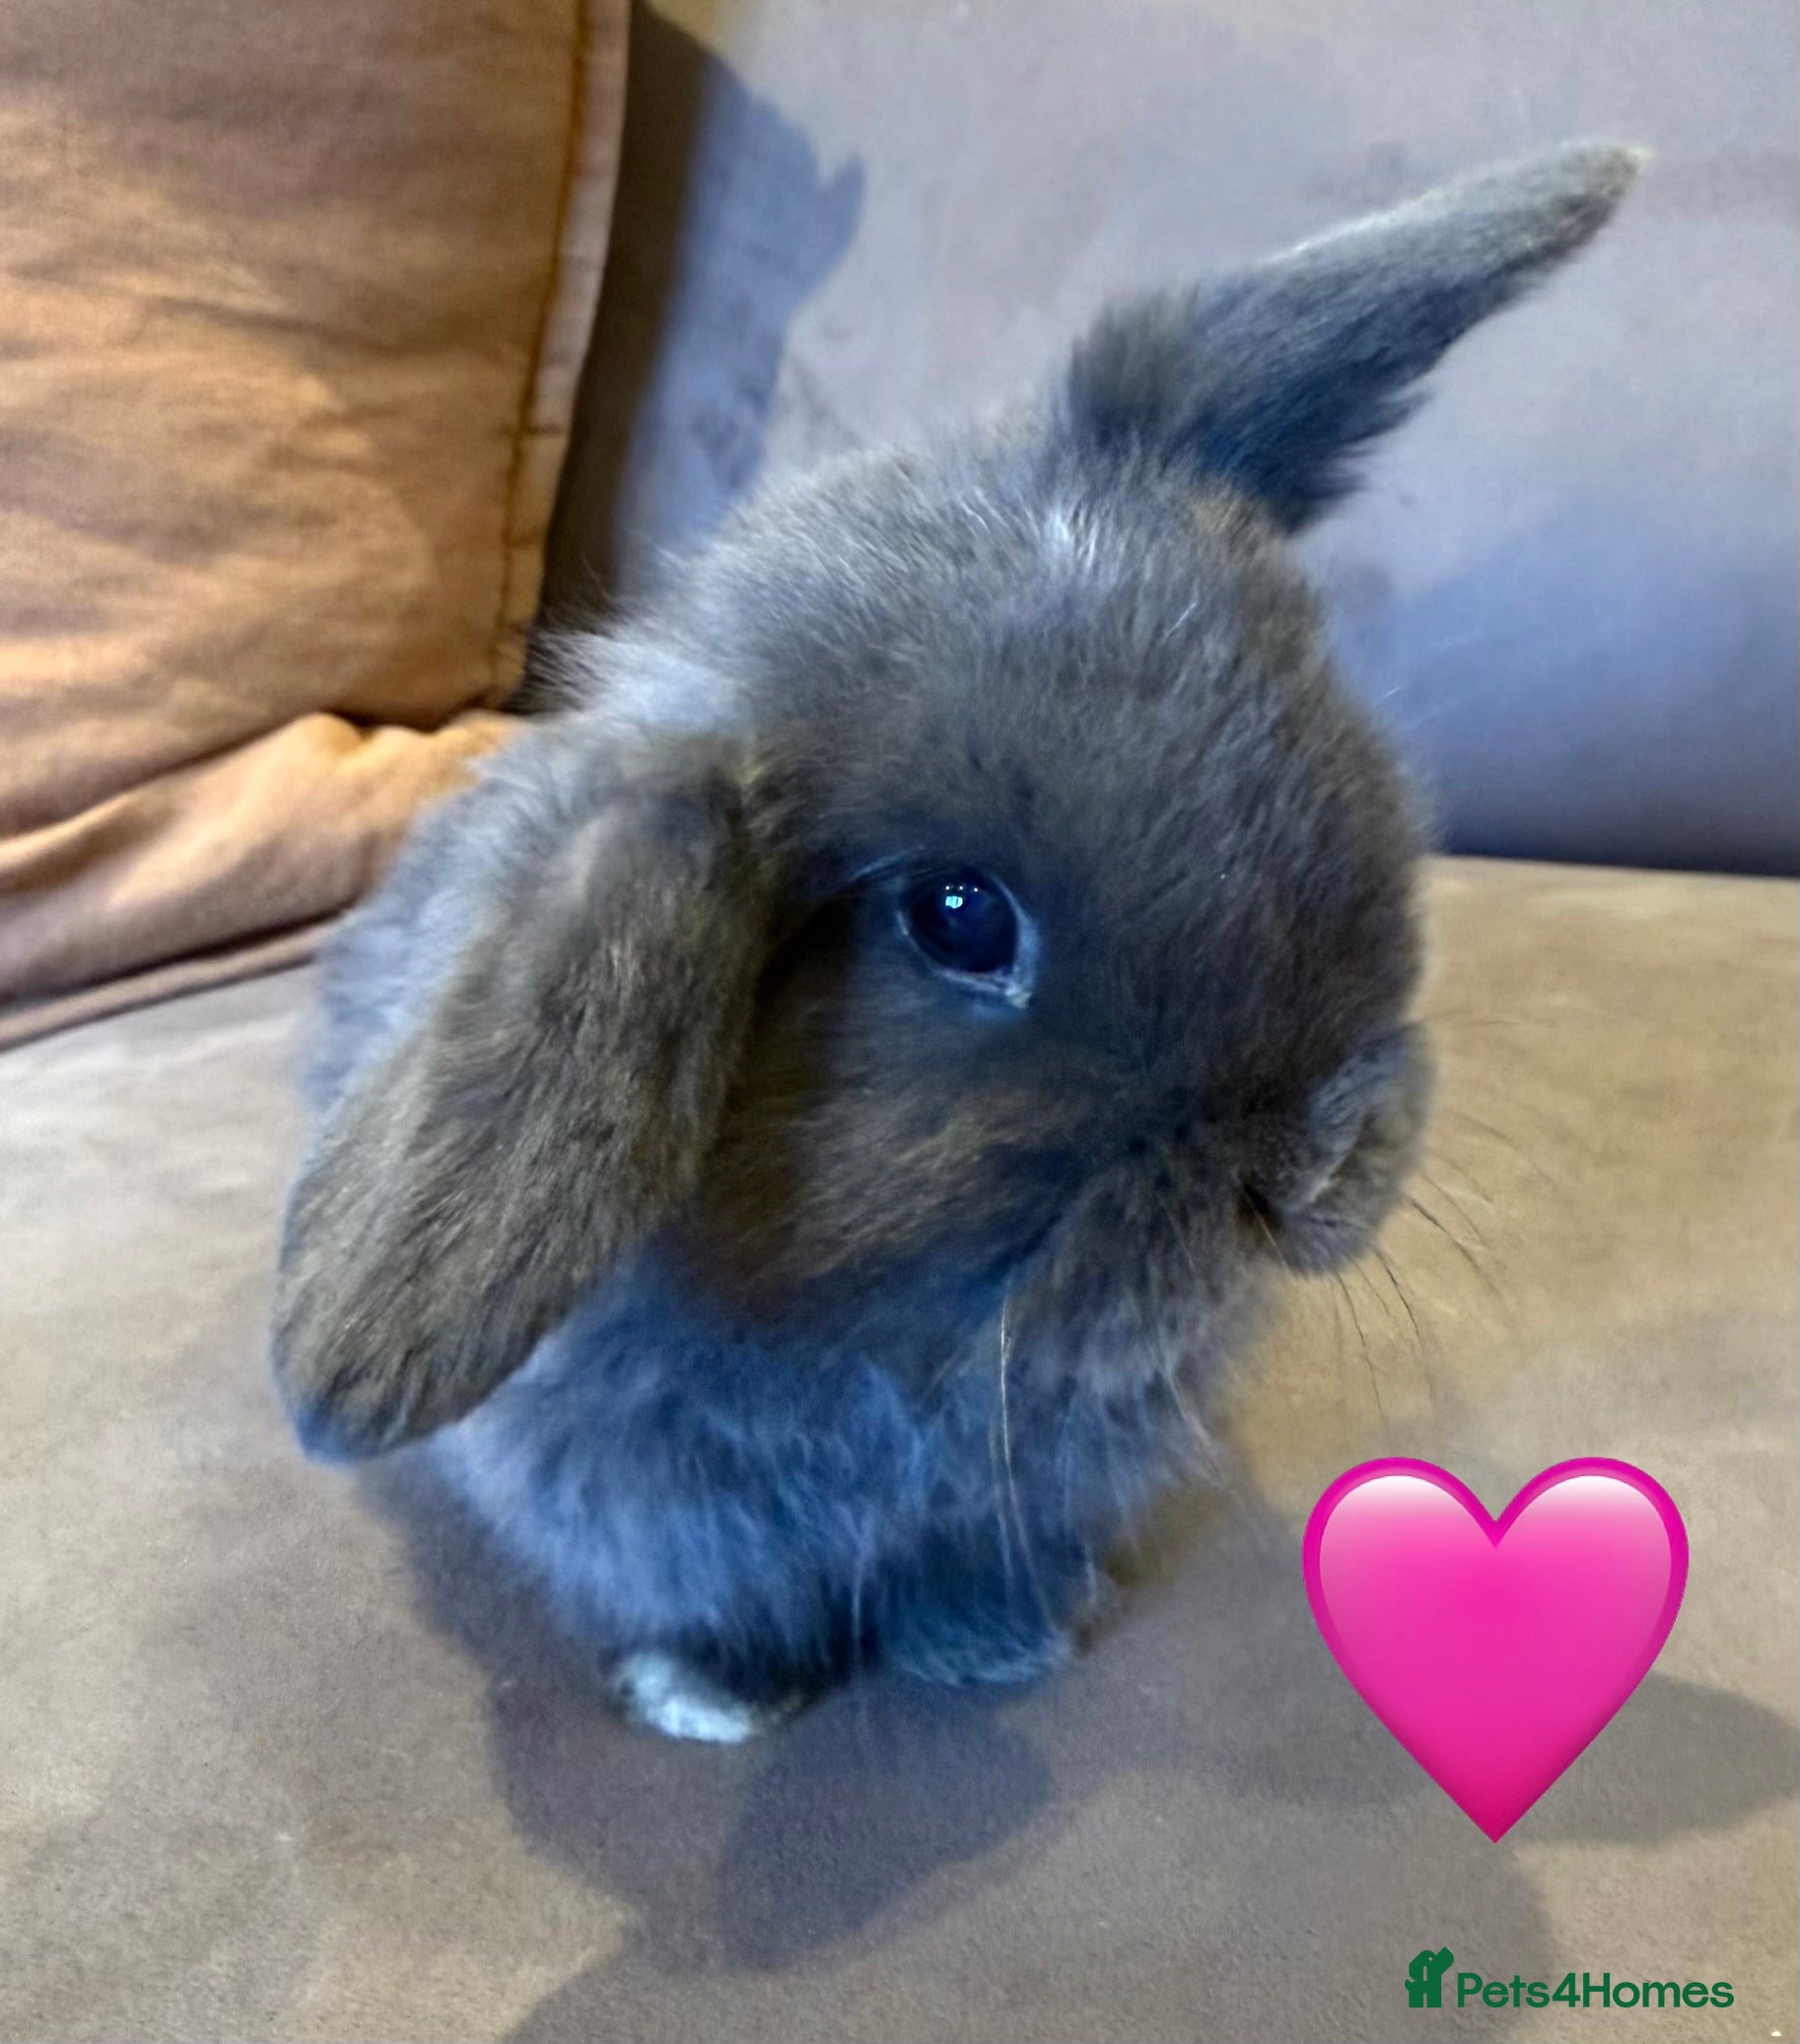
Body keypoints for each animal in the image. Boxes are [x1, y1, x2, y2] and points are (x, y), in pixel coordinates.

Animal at [272, 142, 1642, 1741]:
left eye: (1322, 737)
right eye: (957, 917)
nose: (1316, 1167)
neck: (915, 1344)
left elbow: (974, 1566)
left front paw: (996, 1644)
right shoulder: (649, 1499)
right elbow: (721, 1603)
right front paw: (707, 1698)